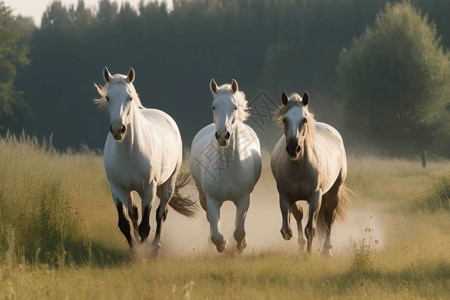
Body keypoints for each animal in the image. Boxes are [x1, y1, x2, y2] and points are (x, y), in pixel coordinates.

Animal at [94, 68, 196, 253]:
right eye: (108, 97)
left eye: (129, 98)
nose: (118, 129)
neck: (129, 152)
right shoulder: (117, 189)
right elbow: (124, 223)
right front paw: (134, 251)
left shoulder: (149, 188)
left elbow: (145, 226)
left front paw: (144, 251)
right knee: (134, 213)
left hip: (168, 183)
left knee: (161, 213)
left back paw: (156, 247)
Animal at [189, 79, 260, 253]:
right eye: (214, 106)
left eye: (234, 107)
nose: (223, 136)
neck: (228, 167)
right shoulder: (212, 200)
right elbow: (217, 233)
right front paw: (222, 245)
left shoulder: (243, 199)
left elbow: (239, 230)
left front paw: (241, 246)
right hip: (202, 196)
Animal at [268, 90, 350, 254]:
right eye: (285, 120)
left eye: (304, 120)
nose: (293, 148)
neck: (299, 167)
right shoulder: (285, 195)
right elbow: (288, 228)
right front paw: (300, 245)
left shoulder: (315, 196)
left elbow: (310, 229)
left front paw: (309, 254)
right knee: (301, 215)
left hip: (334, 191)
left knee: (329, 218)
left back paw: (327, 251)